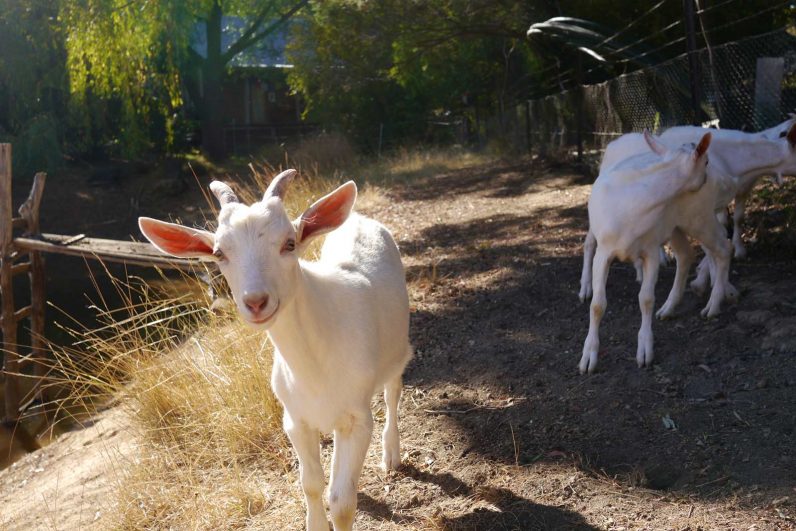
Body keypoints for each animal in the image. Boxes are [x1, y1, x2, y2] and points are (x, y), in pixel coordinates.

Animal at [139, 170, 412, 531]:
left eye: (289, 243)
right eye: (219, 253)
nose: (255, 302)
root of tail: (359, 218)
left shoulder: (356, 418)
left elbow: (341, 501)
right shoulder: (294, 419)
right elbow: (311, 484)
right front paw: (315, 523)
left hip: (397, 349)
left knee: (393, 392)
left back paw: (391, 453)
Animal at [580, 132, 734, 373]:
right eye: (707, 162)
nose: (713, 181)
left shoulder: (651, 250)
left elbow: (646, 299)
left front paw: (645, 351)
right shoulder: (604, 252)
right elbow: (597, 305)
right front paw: (588, 358)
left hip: (697, 218)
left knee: (722, 247)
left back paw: (712, 305)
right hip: (678, 225)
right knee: (688, 253)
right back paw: (670, 308)